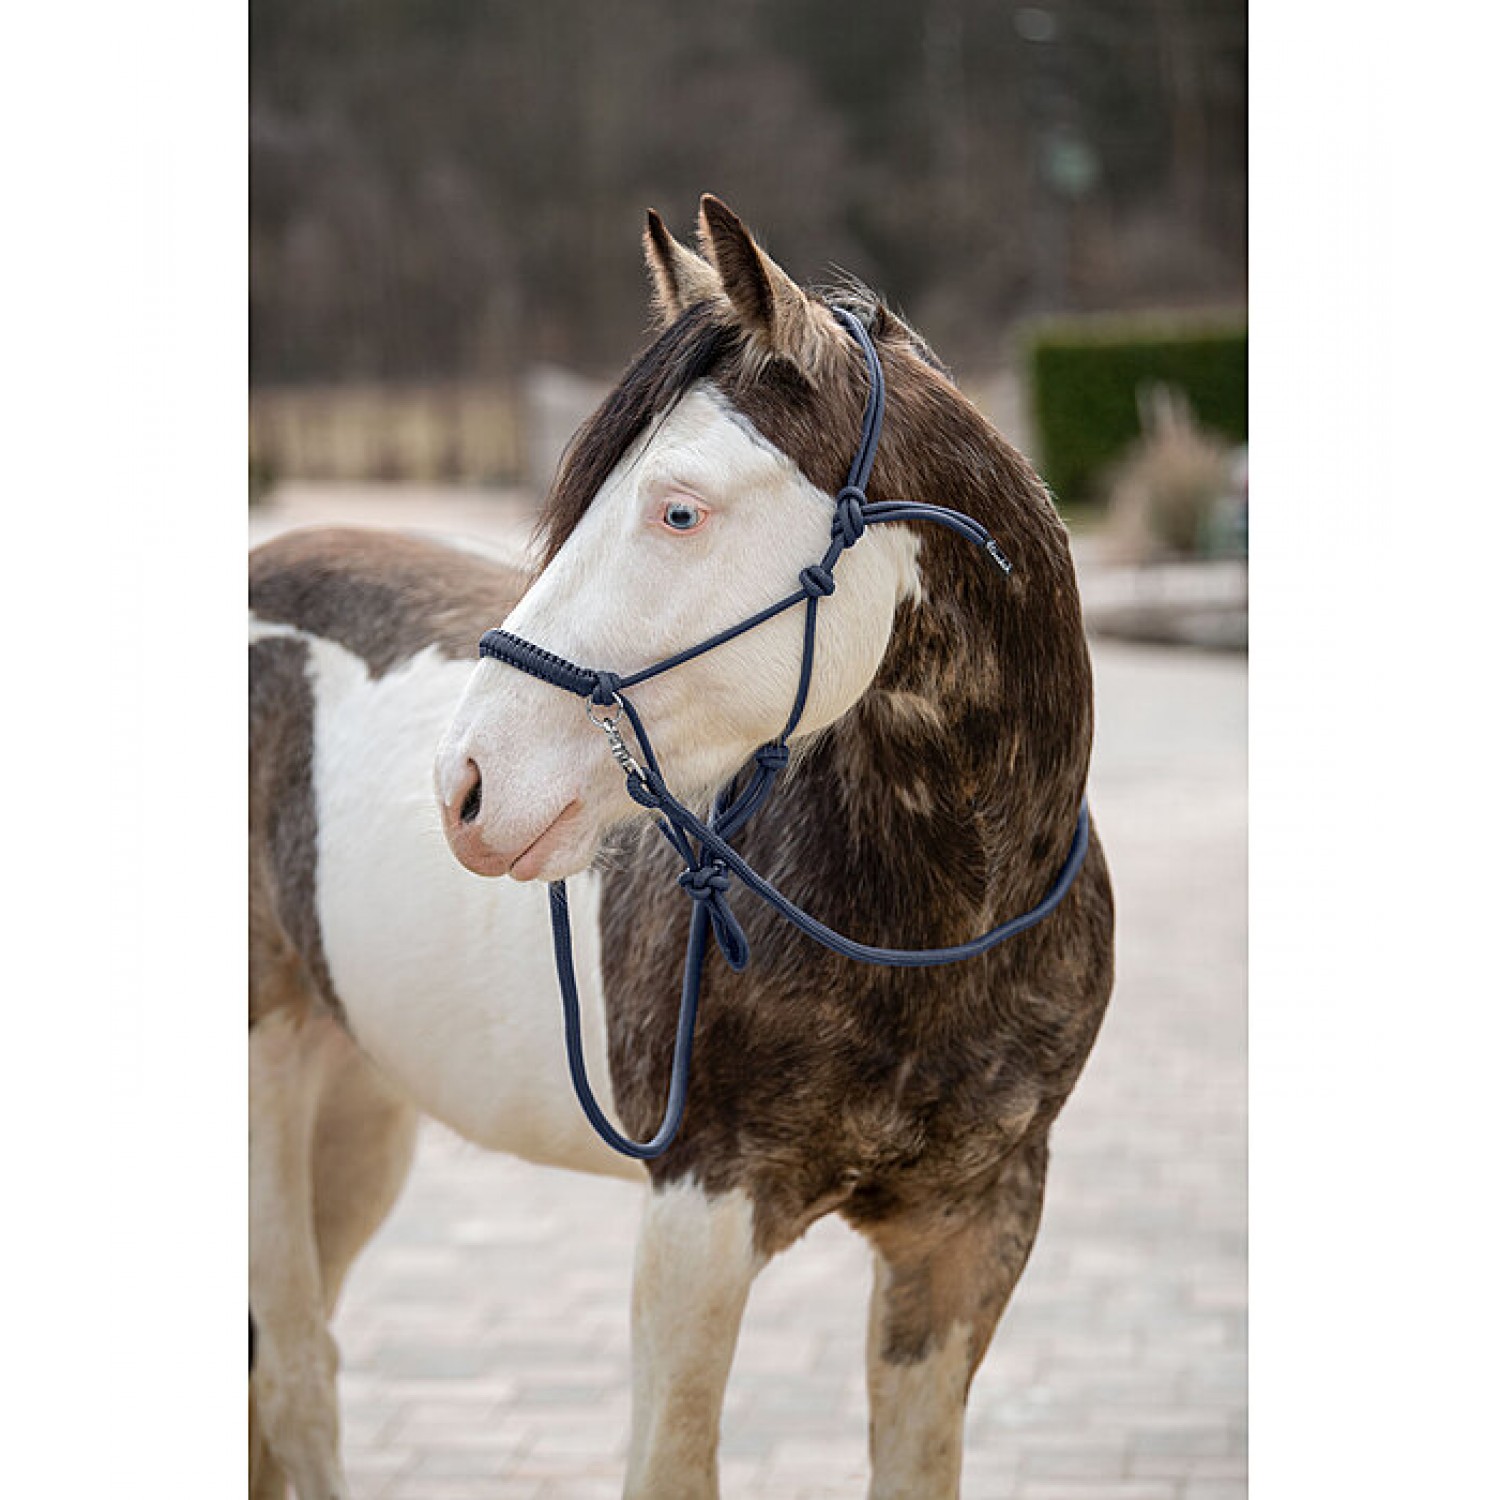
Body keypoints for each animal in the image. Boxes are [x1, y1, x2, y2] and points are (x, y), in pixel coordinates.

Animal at [248, 195, 1114, 1500]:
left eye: (678, 508)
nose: (465, 786)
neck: (933, 928)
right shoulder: (699, 1214)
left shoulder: (972, 1229)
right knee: (296, 1374)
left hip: (353, 1099)